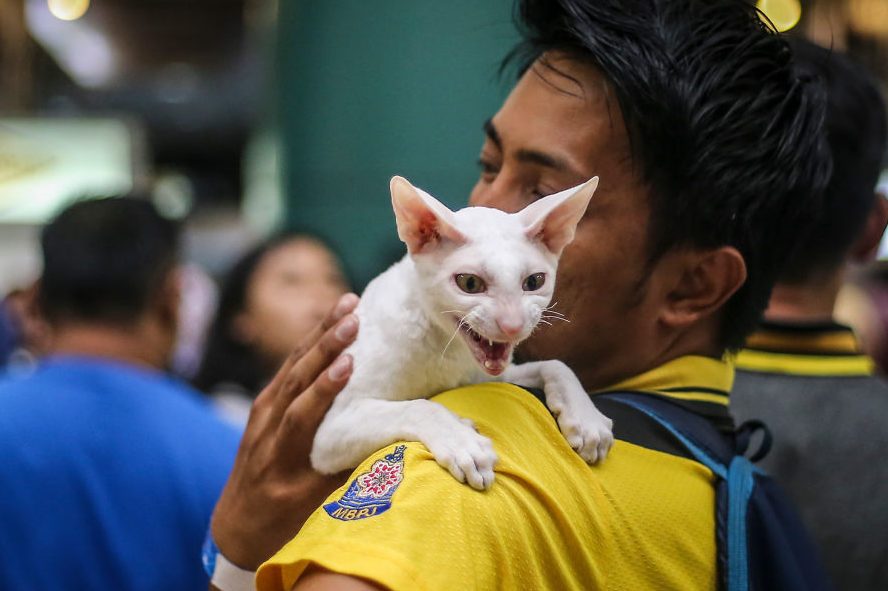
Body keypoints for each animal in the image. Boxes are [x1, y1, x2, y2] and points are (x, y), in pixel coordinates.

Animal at [310, 176, 612, 490]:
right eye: (469, 283)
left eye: (534, 282)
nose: (513, 325)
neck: (444, 348)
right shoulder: (331, 431)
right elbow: (418, 406)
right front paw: (462, 442)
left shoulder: (486, 376)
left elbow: (556, 365)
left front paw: (585, 418)